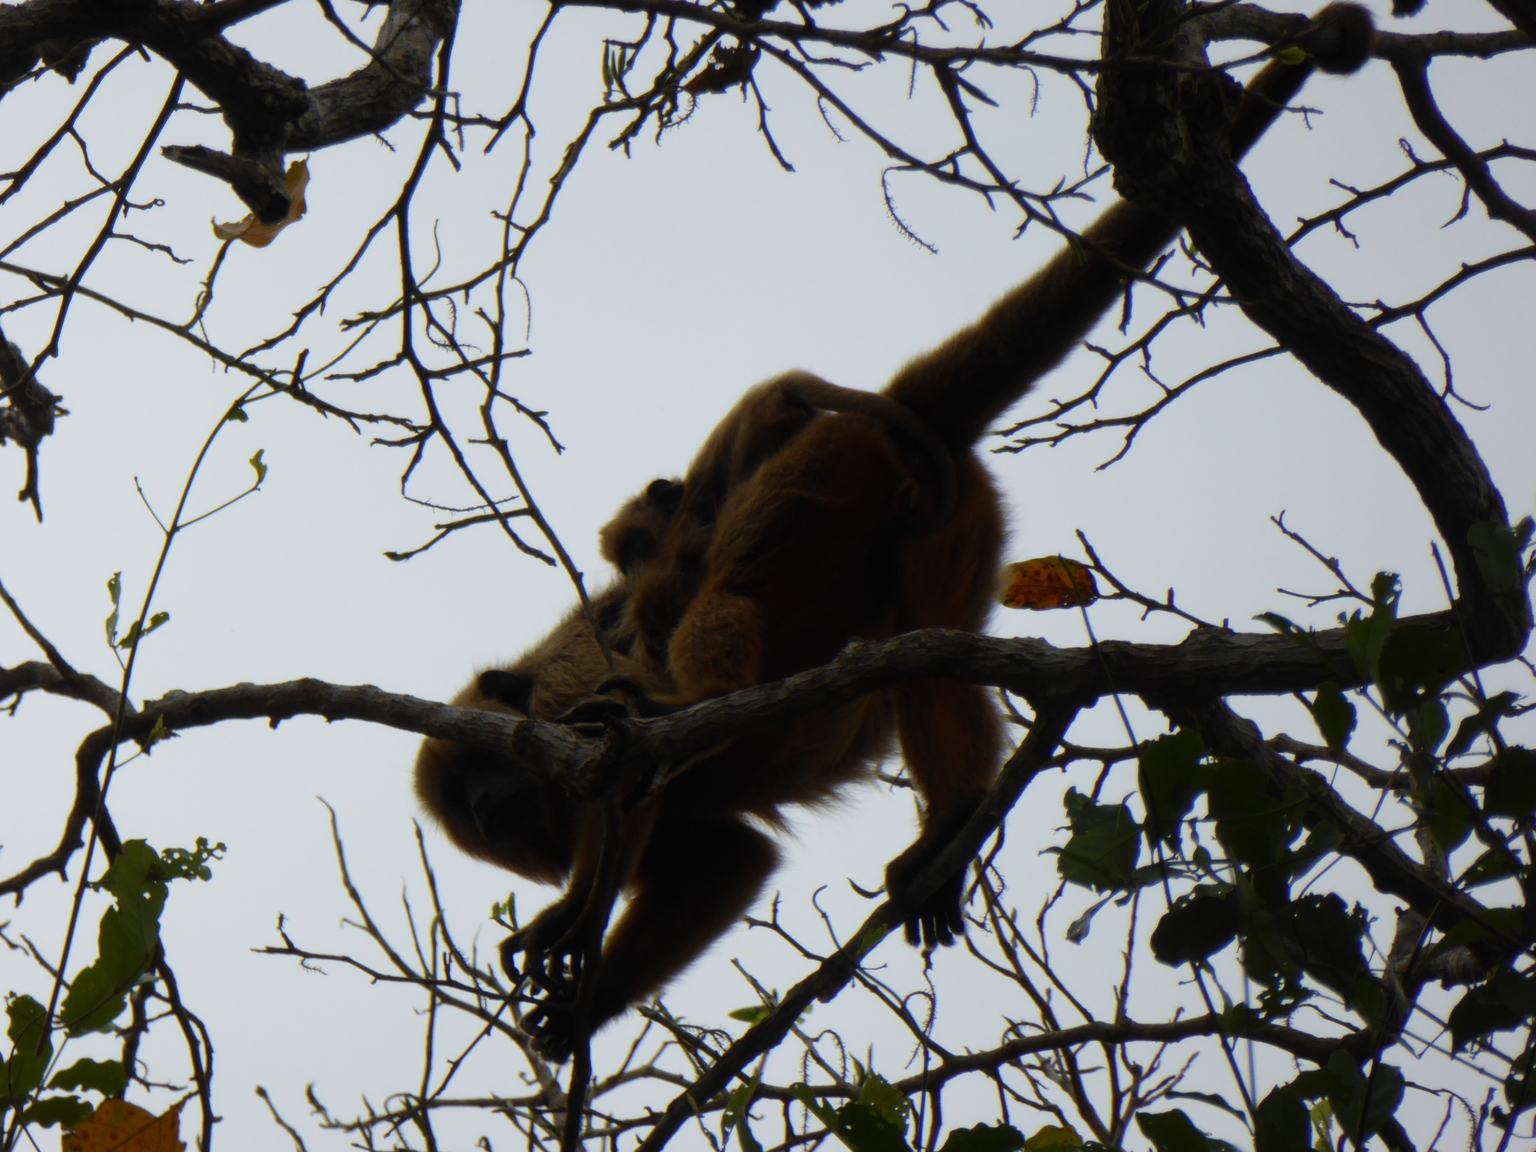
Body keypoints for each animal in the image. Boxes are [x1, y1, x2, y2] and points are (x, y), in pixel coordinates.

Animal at [414, 4, 1375, 1063]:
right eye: (480, 819)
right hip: (950, 513)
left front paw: (576, 924)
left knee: (730, 592)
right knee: (927, 660)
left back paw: (703, 709)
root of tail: (884, 414)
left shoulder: (566, 685)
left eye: (485, 787)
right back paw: (952, 819)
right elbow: (727, 861)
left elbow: (636, 781)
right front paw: (579, 984)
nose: (493, 813)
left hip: (825, 475)